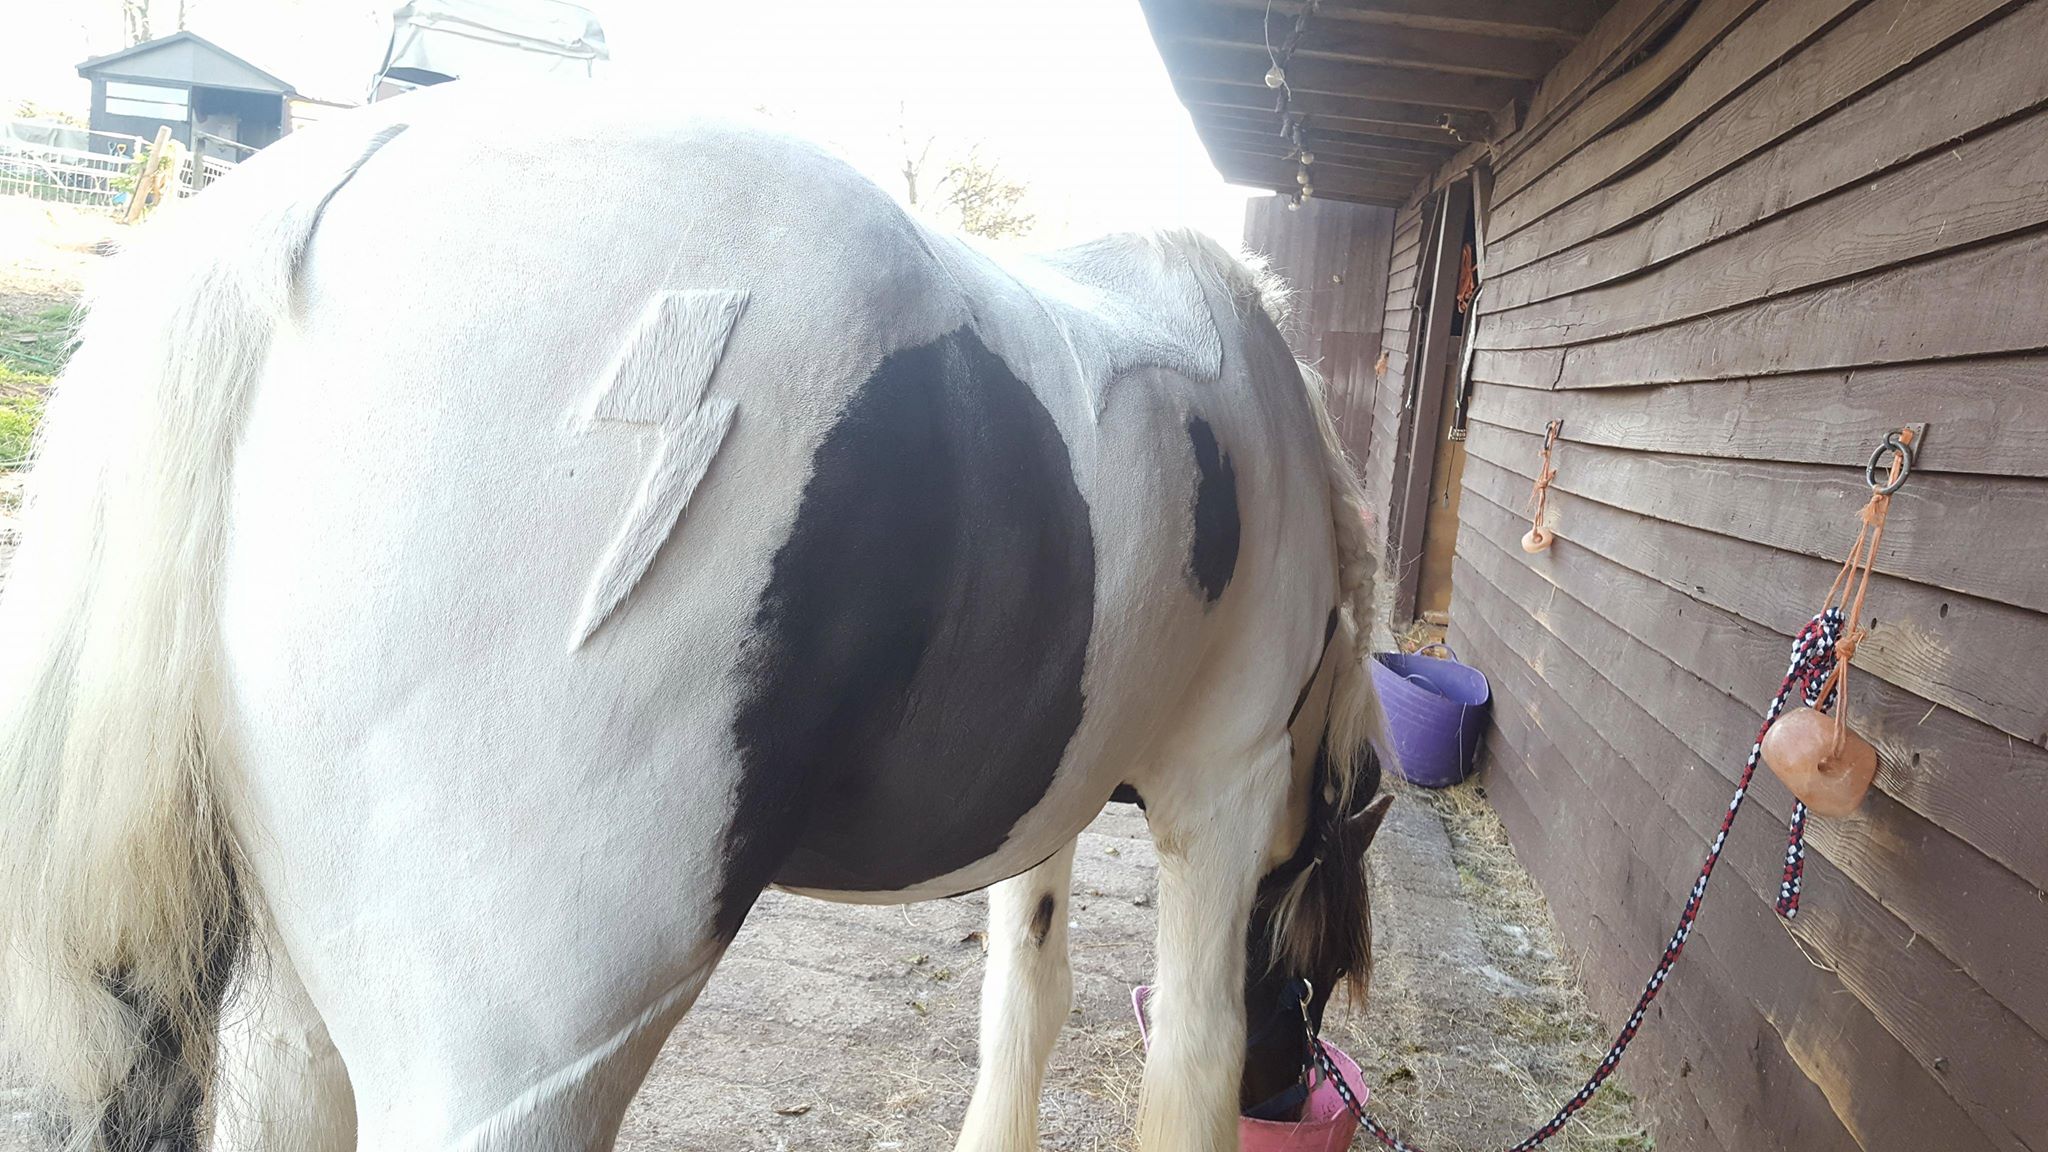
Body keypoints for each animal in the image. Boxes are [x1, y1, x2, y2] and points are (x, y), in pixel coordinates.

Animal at [0, 84, 1389, 1152]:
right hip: (518, 1069)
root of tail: (317, 188)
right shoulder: (1222, 796)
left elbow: (1025, 1001)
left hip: (297, 1000)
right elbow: (1186, 1049)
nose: (1288, 1093)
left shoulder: (1049, 793)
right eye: (1322, 972)